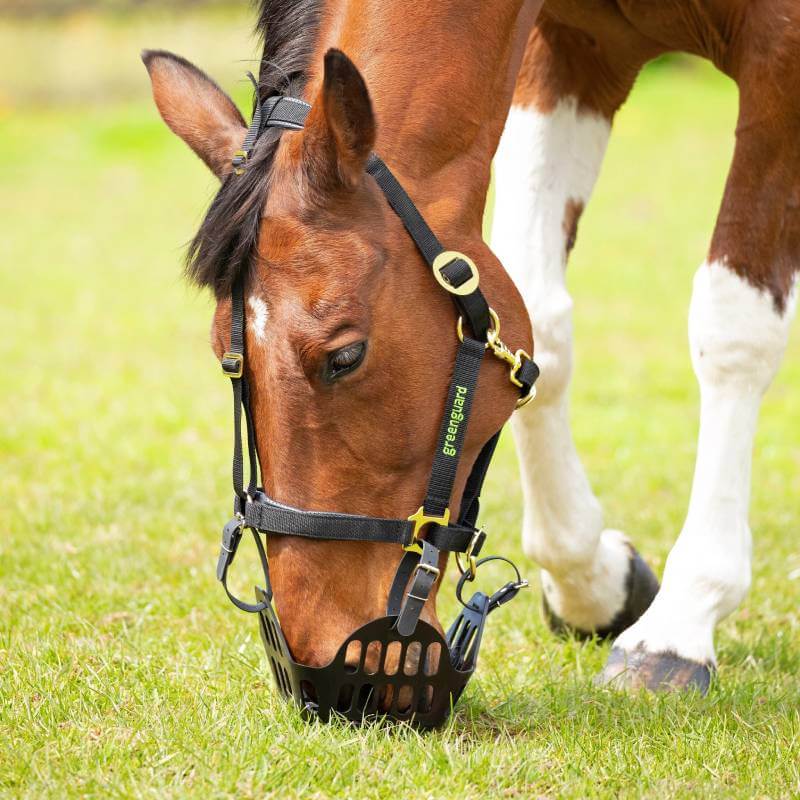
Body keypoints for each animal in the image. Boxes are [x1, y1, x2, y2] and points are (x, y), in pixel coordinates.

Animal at [143, 0, 797, 698]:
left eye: (344, 358)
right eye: (226, 356)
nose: (314, 665)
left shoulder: (780, 59)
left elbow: (734, 328)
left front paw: (681, 620)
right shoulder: (568, 50)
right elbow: (541, 324)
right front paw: (592, 582)